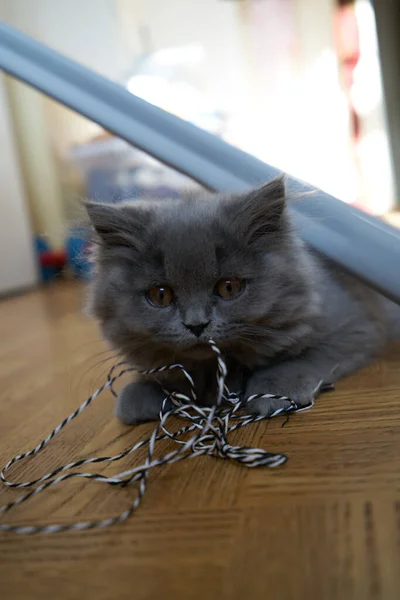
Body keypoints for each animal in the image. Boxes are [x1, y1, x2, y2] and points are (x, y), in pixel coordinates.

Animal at [85, 176, 396, 424]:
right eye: (160, 295)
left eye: (228, 288)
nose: (196, 325)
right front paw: (146, 391)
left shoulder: (357, 327)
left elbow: (307, 357)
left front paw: (274, 390)